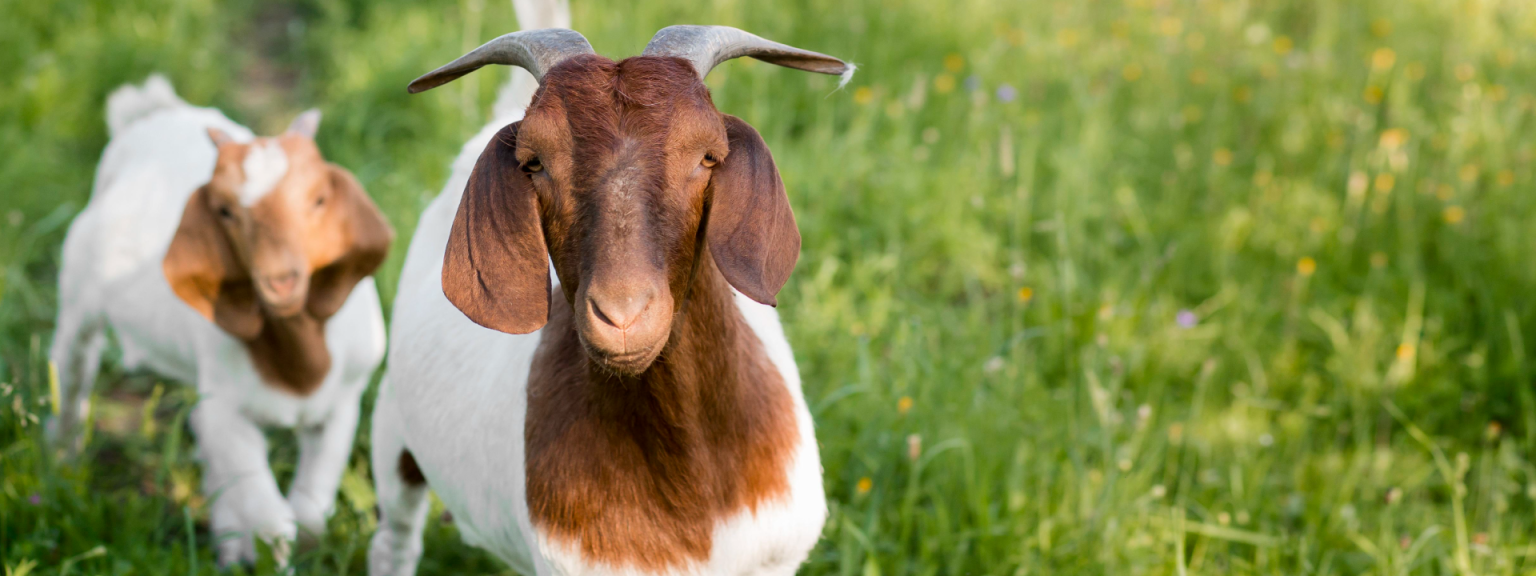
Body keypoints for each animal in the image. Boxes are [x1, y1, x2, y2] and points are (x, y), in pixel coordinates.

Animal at [49, 75, 393, 566]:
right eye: (226, 210)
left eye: (319, 199)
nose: (280, 281)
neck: (298, 365)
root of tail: (153, 112)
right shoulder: (228, 410)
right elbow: (273, 526)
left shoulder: (343, 404)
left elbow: (308, 518)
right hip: (78, 297)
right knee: (72, 371)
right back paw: (61, 467)